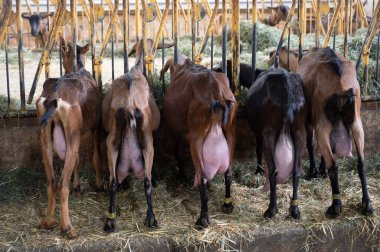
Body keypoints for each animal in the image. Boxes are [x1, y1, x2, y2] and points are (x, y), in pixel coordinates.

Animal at [36, 37, 103, 238]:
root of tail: (55, 97)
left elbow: (78, 161)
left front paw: (78, 187)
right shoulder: (95, 129)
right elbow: (95, 158)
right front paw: (99, 184)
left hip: (46, 142)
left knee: (51, 182)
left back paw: (47, 221)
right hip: (72, 137)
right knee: (62, 184)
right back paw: (67, 227)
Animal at [101, 39, 171, 232]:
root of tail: (130, 107)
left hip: (112, 142)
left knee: (113, 181)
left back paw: (110, 220)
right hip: (147, 142)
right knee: (146, 181)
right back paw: (151, 218)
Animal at [163, 56, 238, 228]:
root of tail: (217, 91)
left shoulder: (178, 133)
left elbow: (178, 152)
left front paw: (181, 175)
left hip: (196, 138)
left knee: (202, 176)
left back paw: (203, 218)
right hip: (230, 131)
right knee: (228, 172)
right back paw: (227, 204)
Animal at [245, 67, 308, 219]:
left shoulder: (259, 131)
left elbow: (258, 149)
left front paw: (259, 170)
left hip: (269, 131)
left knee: (274, 171)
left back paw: (271, 209)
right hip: (299, 130)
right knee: (296, 170)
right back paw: (294, 209)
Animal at [296, 48, 374, 218]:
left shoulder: (309, 119)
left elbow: (310, 144)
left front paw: (314, 171)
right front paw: (321, 170)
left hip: (323, 123)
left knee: (334, 164)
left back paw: (335, 206)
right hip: (356, 121)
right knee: (361, 162)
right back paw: (367, 205)